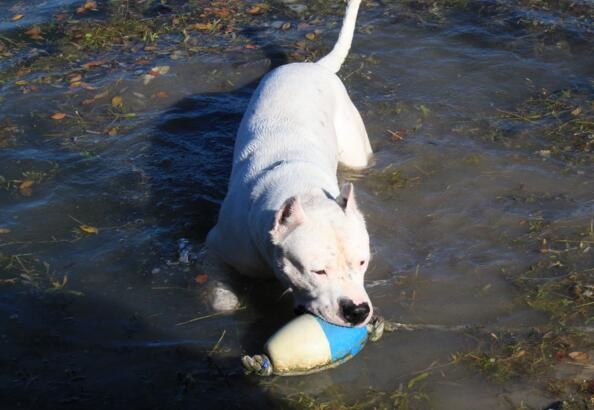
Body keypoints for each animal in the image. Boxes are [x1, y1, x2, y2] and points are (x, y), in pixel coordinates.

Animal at [204, 0, 370, 326]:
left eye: (362, 262)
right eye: (318, 271)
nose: (358, 310)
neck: (301, 186)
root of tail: (313, 66)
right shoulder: (216, 245)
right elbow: (220, 299)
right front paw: (225, 298)